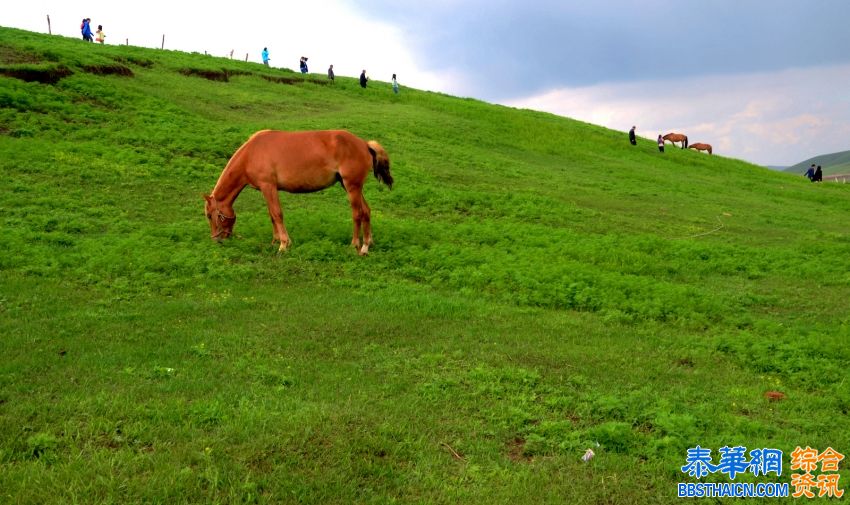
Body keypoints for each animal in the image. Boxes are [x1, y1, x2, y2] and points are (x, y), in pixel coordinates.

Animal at [204, 130, 392, 256]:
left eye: (209, 215)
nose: (216, 240)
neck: (251, 153)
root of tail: (365, 144)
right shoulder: (267, 189)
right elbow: (272, 215)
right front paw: (275, 241)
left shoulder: (268, 186)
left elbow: (277, 214)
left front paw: (283, 245)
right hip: (352, 187)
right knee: (366, 211)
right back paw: (368, 244)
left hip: (352, 186)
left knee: (358, 214)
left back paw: (358, 246)